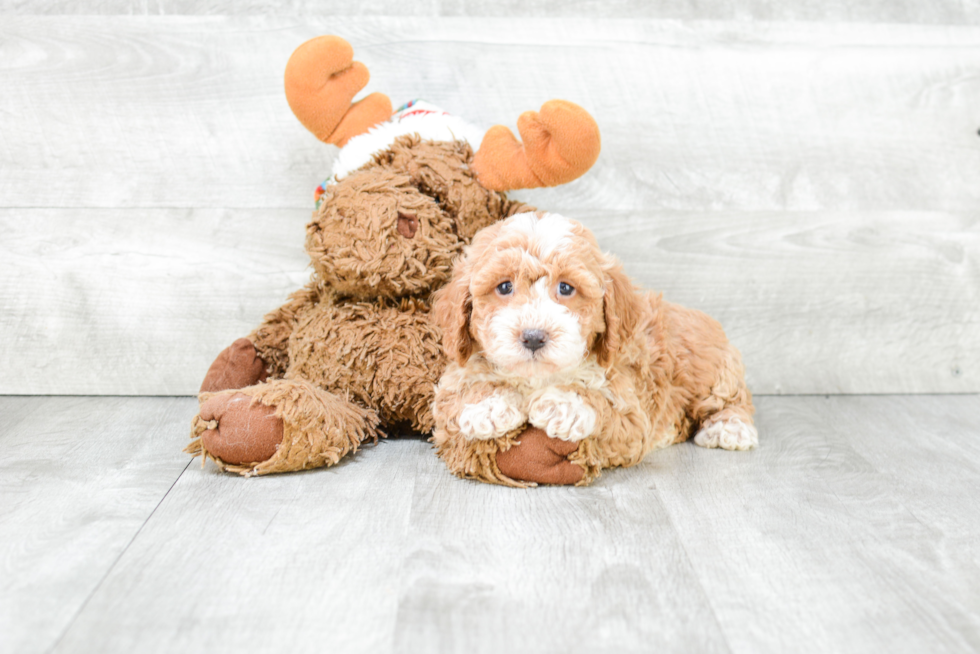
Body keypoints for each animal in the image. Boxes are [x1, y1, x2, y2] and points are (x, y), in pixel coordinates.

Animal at [428, 213, 756, 490]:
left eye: (566, 288)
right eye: (504, 287)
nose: (533, 337)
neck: (537, 378)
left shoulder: (633, 415)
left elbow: (604, 406)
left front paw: (563, 405)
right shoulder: (448, 395)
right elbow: (457, 396)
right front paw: (487, 405)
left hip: (714, 371)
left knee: (733, 398)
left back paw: (731, 428)